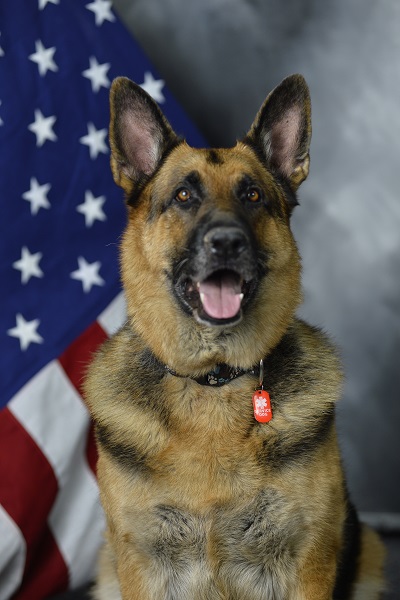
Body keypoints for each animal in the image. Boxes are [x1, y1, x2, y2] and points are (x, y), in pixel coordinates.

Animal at [83, 75, 384, 600]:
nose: (227, 242)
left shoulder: (308, 564)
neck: (214, 381)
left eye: (253, 196)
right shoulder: (143, 566)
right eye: (184, 196)